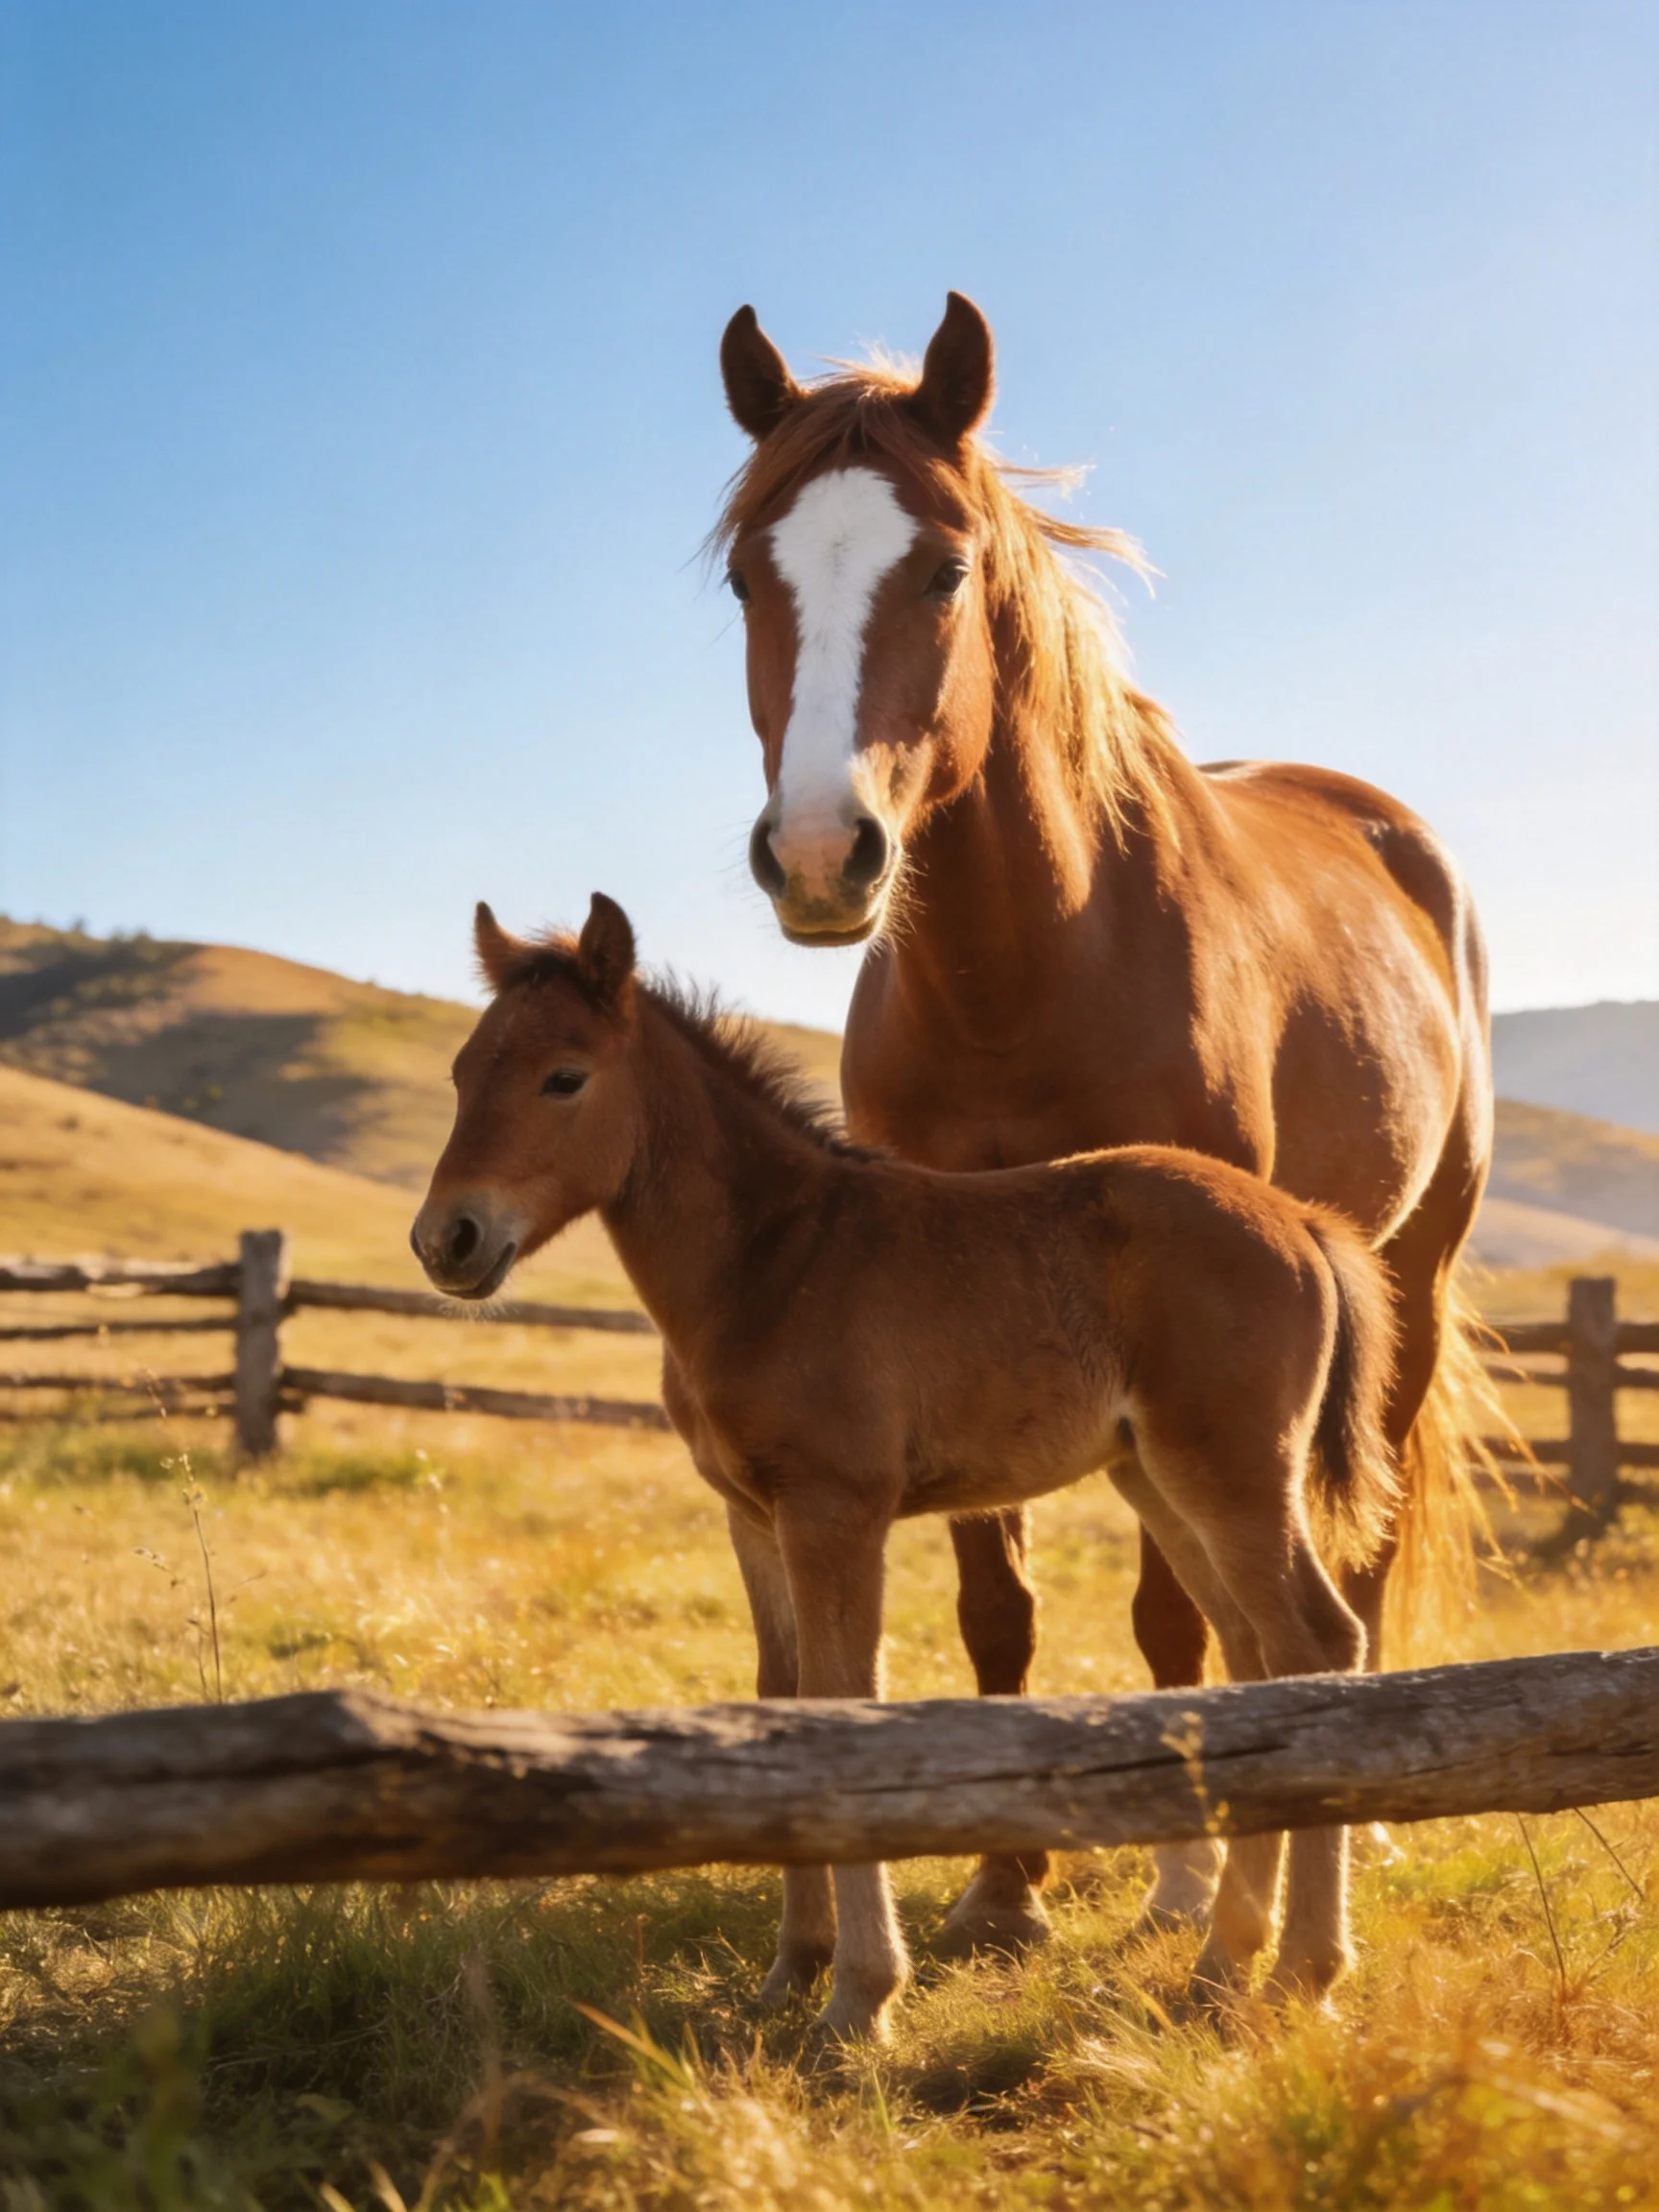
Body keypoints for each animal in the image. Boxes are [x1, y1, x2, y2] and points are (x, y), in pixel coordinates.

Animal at [412, 892, 1400, 2043]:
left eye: (564, 1076)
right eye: (461, 1072)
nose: (448, 1239)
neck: (772, 1259)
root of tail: (1303, 1220)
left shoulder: (836, 1509)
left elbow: (846, 1703)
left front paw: (860, 1995)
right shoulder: (753, 1515)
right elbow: (783, 1699)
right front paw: (793, 1969)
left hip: (1234, 1470)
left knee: (1317, 1642)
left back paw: (1302, 1971)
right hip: (1157, 1480)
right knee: (1253, 1661)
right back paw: (1223, 1961)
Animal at [715, 291, 1495, 1947]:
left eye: (944, 567)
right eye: (751, 574)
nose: (818, 855)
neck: (1028, 968)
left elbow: (1171, 1614)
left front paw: (1186, 1876)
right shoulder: (932, 1297)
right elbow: (996, 1611)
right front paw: (1005, 1882)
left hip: (1406, 1282)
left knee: (1360, 1553)